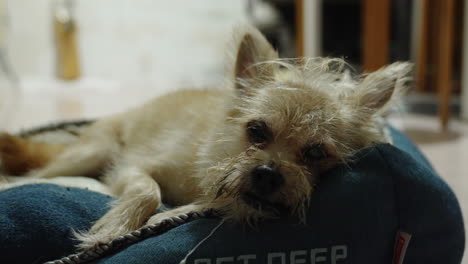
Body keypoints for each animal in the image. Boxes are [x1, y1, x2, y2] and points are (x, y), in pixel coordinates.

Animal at [0, 24, 410, 250]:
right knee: (33, 176)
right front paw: (116, 227)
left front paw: (169, 216)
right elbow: (148, 191)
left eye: (316, 152)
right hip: (91, 152)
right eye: (256, 131)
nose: (268, 174)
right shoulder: (131, 167)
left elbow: (194, 205)